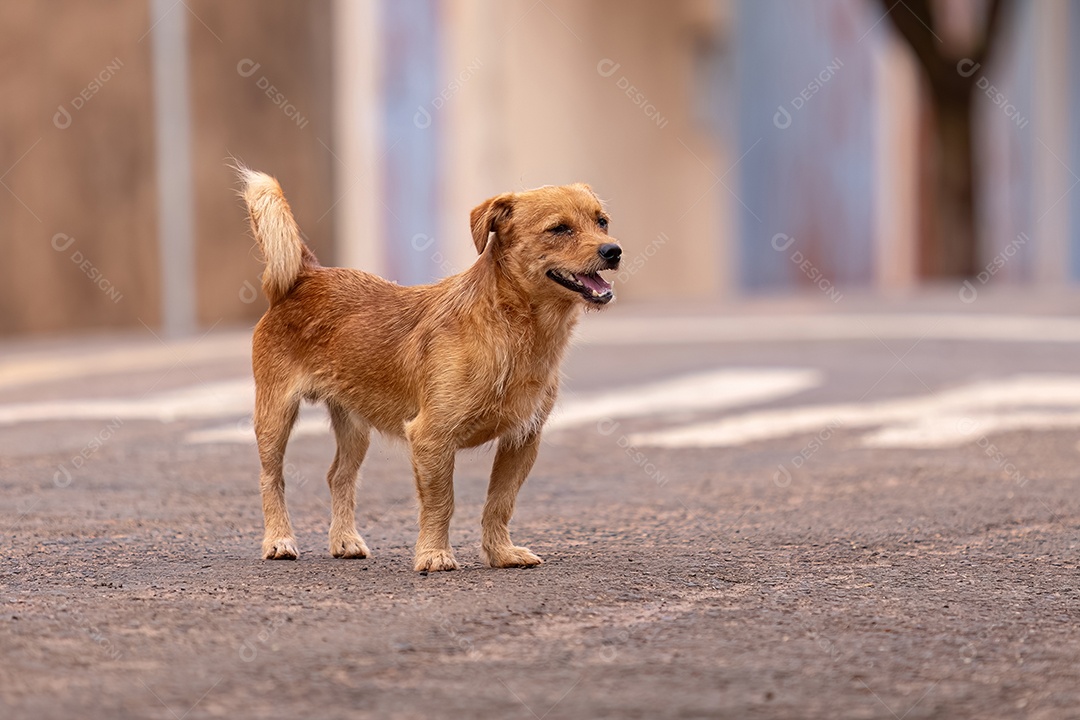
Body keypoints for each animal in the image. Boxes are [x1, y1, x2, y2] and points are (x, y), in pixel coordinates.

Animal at [239, 166, 622, 569]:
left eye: (602, 222)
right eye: (559, 229)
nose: (613, 250)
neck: (515, 329)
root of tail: (306, 273)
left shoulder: (521, 441)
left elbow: (500, 503)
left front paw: (500, 552)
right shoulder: (431, 438)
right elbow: (441, 503)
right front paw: (435, 554)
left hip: (354, 425)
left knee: (339, 476)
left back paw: (344, 539)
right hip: (275, 416)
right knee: (272, 478)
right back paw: (279, 539)